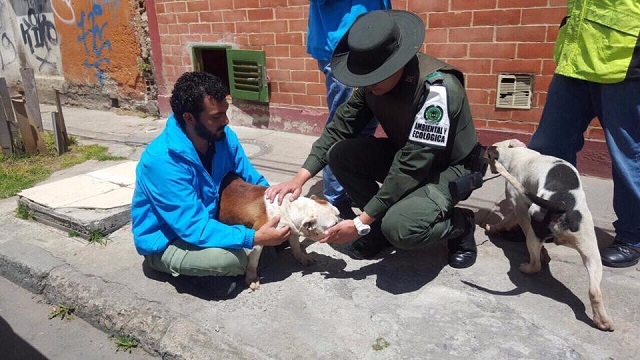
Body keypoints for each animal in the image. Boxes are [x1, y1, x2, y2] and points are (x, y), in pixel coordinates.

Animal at [488, 139, 612, 330]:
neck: (517, 154)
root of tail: (561, 205)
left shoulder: (519, 208)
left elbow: (508, 220)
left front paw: (493, 228)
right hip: (591, 251)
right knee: (594, 290)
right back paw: (603, 321)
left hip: (534, 234)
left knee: (536, 264)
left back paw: (527, 267)